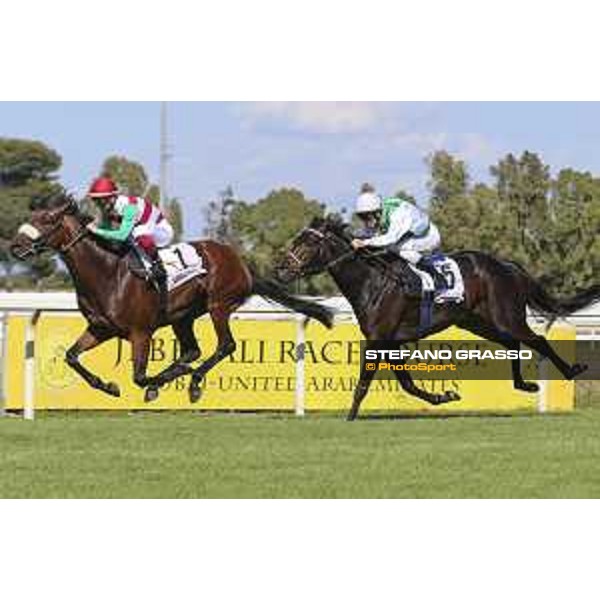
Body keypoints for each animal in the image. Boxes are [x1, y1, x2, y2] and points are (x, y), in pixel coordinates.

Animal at [10, 198, 332, 404]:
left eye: (47, 220)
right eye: (33, 217)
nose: (14, 246)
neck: (107, 273)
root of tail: (242, 264)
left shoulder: (141, 332)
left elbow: (140, 376)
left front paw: (159, 382)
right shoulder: (100, 328)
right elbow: (71, 356)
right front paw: (109, 386)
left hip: (218, 306)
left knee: (225, 345)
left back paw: (194, 381)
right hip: (183, 316)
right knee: (192, 350)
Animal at [274, 217, 596, 422]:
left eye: (306, 243)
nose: (280, 269)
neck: (371, 281)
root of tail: (505, 265)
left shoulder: (378, 339)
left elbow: (365, 381)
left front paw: (350, 418)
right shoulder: (390, 342)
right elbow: (406, 384)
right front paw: (445, 396)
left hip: (505, 316)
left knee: (536, 339)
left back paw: (571, 370)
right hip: (477, 321)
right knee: (513, 344)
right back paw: (525, 385)